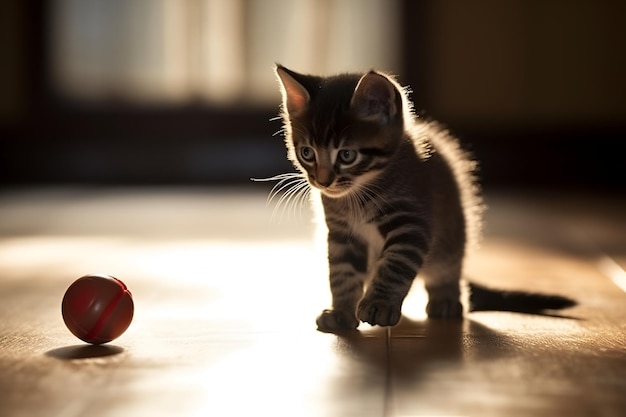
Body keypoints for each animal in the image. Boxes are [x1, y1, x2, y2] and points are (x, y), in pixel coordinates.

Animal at [270, 64, 572, 332]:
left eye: (346, 155)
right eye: (307, 153)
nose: (322, 181)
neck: (359, 194)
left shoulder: (411, 223)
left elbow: (394, 266)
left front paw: (379, 304)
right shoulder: (342, 234)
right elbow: (342, 273)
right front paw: (342, 312)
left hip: (452, 233)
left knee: (448, 267)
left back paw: (446, 298)